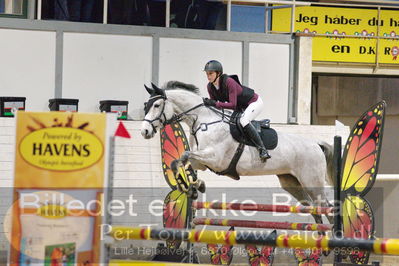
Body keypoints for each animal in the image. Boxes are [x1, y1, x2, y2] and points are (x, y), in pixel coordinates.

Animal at [141, 82, 334, 223]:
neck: (203, 120)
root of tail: (316, 144)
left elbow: (185, 156)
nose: (144, 132)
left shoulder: (215, 158)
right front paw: (193, 186)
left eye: (157, 105)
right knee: (314, 209)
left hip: (311, 182)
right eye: (146, 105)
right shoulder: (201, 162)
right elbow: (180, 161)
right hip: (291, 183)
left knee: (328, 208)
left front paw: (192, 185)